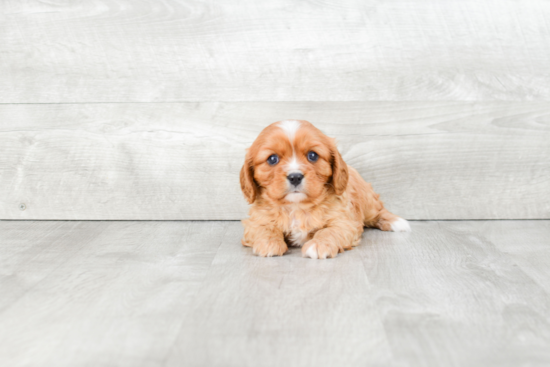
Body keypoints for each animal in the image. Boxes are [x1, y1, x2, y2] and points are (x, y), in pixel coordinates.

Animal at [239, 119, 412, 260]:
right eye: (272, 159)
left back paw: (396, 222)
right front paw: (269, 243)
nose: (295, 177)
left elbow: (329, 231)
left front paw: (318, 244)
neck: (297, 206)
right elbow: (264, 228)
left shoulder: (344, 221)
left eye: (313, 155)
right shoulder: (256, 221)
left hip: (367, 199)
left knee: (377, 212)